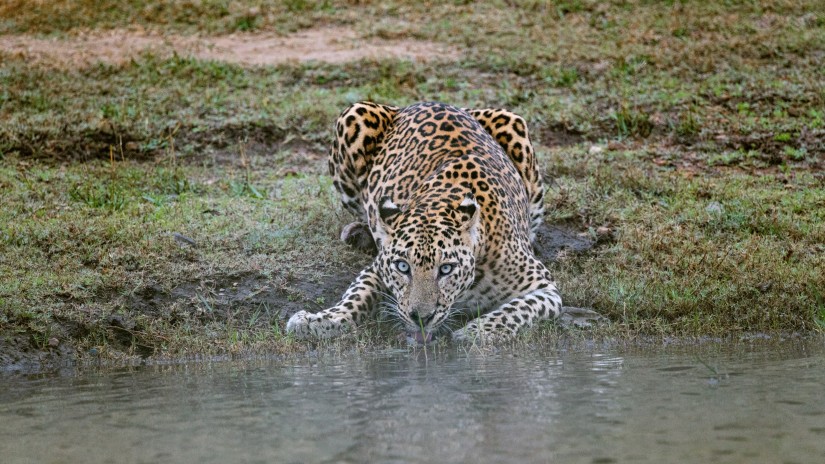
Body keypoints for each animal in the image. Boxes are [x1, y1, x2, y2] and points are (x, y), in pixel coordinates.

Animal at [286, 100, 564, 340]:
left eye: (446, 269)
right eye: (402, 267)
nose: (421, 317)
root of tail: (420, 103)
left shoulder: (546, 289)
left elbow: (517, 310)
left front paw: (476, 332)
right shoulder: (377, 267)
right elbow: (356, 295)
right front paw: (320, 320)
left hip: (515, 126)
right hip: (354, 116)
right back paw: (360, 233)